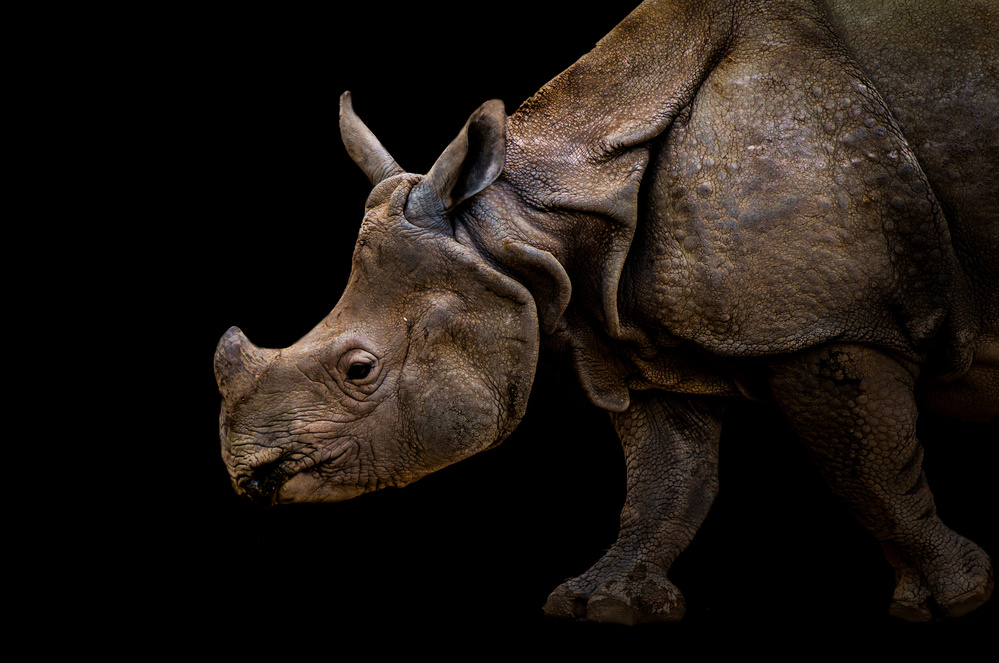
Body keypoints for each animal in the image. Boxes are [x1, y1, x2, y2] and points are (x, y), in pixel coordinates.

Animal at [214, 0, 997, 624]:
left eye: (359, 369)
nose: (248, 478)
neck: (523, 217)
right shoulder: (638, 337)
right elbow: (666, 477)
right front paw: (605, 604)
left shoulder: (834, 323)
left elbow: (870, 464)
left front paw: (955, 598)